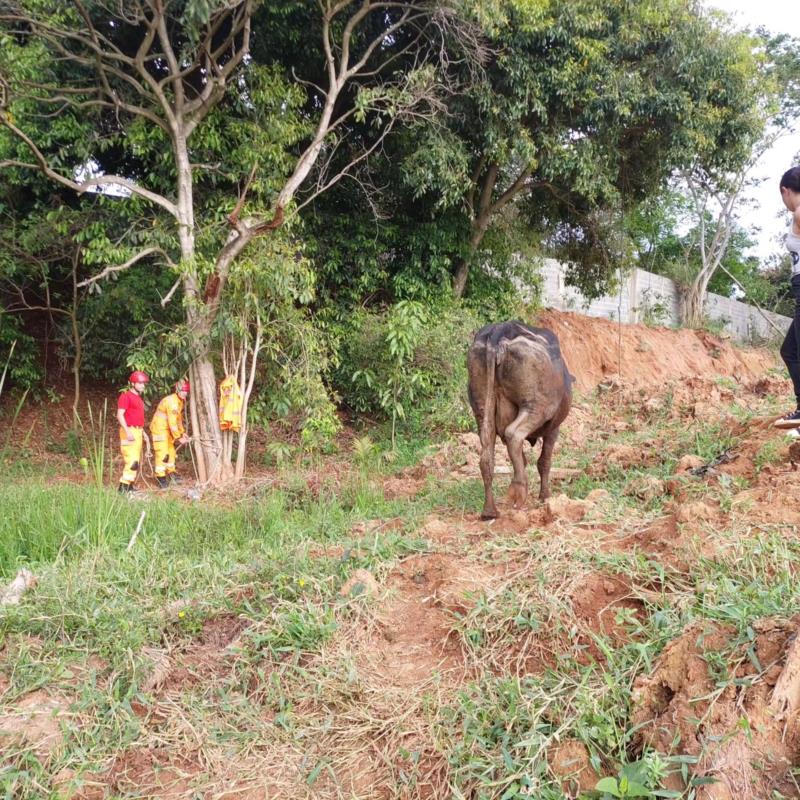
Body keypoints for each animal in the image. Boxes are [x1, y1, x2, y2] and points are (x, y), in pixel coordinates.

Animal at [466, 320, 572, 520]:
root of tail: (499, 331)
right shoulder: (554, 428)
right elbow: (544, 462)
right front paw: (545, 496)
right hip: (535, 407)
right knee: (514, 434)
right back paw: (518, 489)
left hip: (481, 408)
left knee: (487, 453)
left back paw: (490, 511)